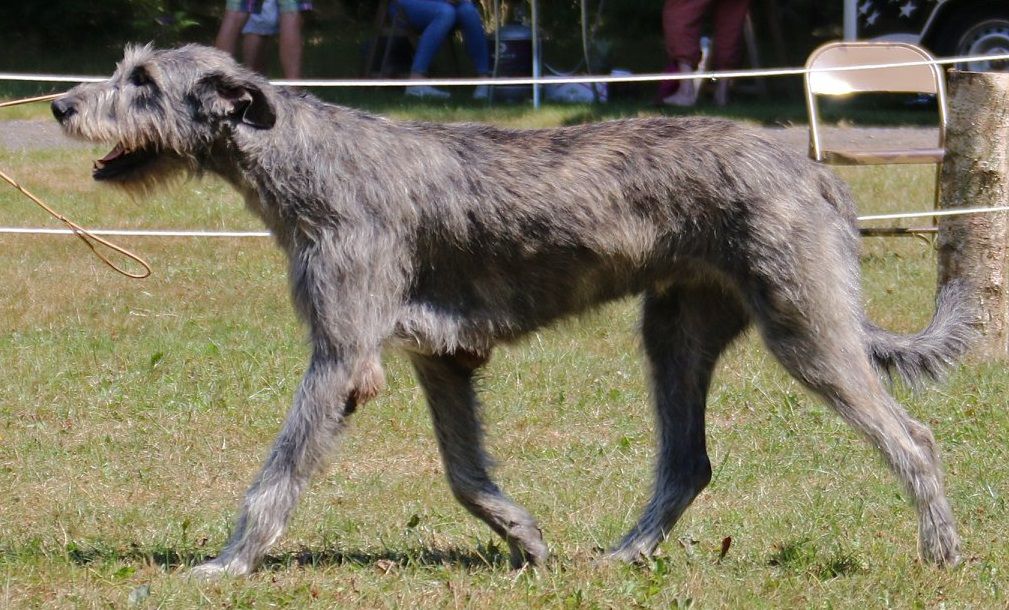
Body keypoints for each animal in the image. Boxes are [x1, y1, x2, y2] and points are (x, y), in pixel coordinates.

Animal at [51, 44, 972, 576]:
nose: (60, 105)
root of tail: (813, 169)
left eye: (141, 80)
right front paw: (523, 537)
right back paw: (623, 555)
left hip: (803, 328)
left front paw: (226, 564)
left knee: (912, 436)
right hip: (674, 331)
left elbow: (276, 476)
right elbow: (464, 474)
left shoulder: (342, 356)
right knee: (687, 461)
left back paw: (941, 553)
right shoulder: (439, 357)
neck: (304, 158)